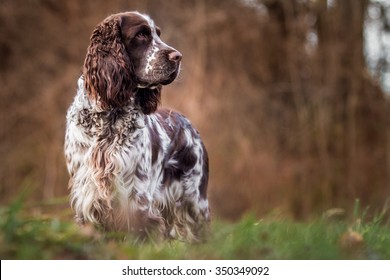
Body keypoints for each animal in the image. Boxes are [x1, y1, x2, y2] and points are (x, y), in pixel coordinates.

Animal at [65, 11, 209, 241]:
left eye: (158, 34)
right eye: (141, 35)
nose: (178, 56)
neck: (109, 116)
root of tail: (187, 122)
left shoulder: (137, 199)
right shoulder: (87, 197)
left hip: (194, 202)